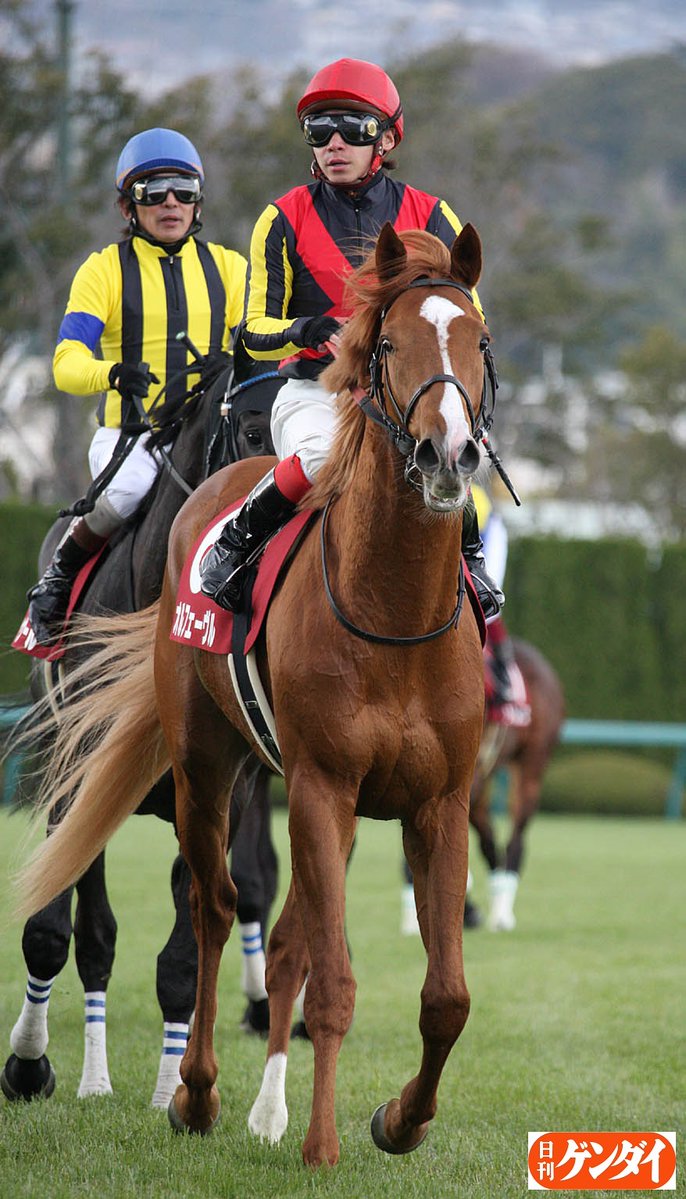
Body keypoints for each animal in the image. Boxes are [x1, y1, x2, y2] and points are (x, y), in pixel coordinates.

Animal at [2, 364, 282, 1106]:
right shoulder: (77, 774)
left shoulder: (224, 793)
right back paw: (88, 1073)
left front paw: (171, 1091)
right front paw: (29, 1065)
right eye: (252, 430)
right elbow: (58, 928)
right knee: (93, 934)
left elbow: (186, 951)